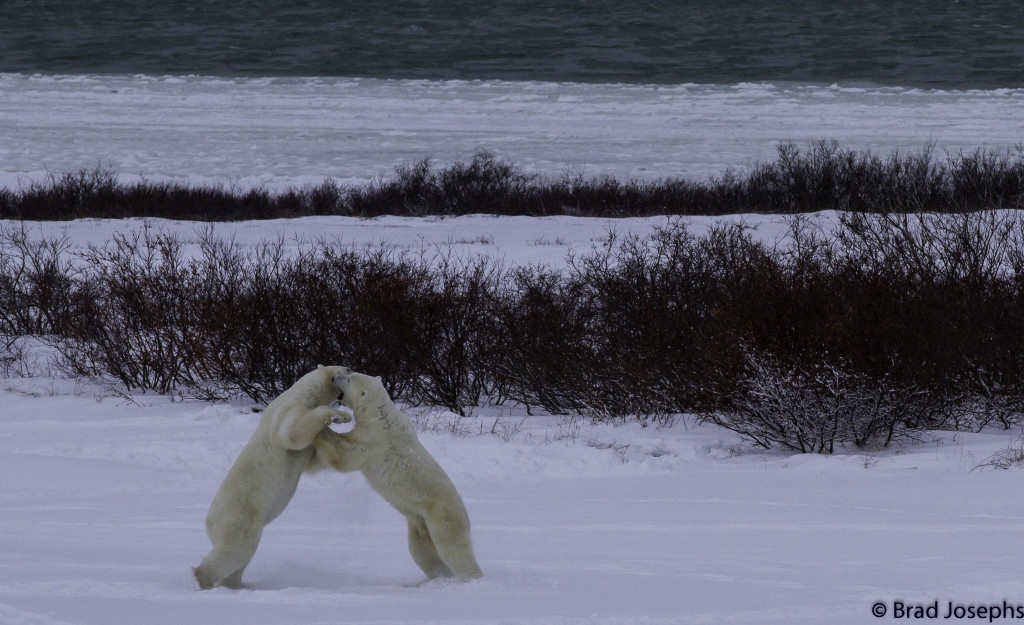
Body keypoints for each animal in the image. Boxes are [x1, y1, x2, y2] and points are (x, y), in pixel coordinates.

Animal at [193, 365, 353, 590]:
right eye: (340, 368)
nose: (349, 367)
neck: (305, 390)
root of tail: (209, 522)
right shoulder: (289, 410)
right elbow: (293, 433)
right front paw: (340, 415)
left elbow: (314, 461)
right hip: (239, 518)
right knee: (234, 551)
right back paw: (203, 578)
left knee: (242, 557)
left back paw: (237, 585)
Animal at [313, 370, 483, 582]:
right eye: (350, 372)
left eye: (349, 379)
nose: (335, 376)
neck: (379, 412)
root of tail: (465, 517)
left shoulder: (373, 438)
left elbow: (344, 455)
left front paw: (319, 428)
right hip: (419, 524)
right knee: (423, 554)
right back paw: (439, 577)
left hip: (443, 517)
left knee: (453, 550)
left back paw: (471, 578)